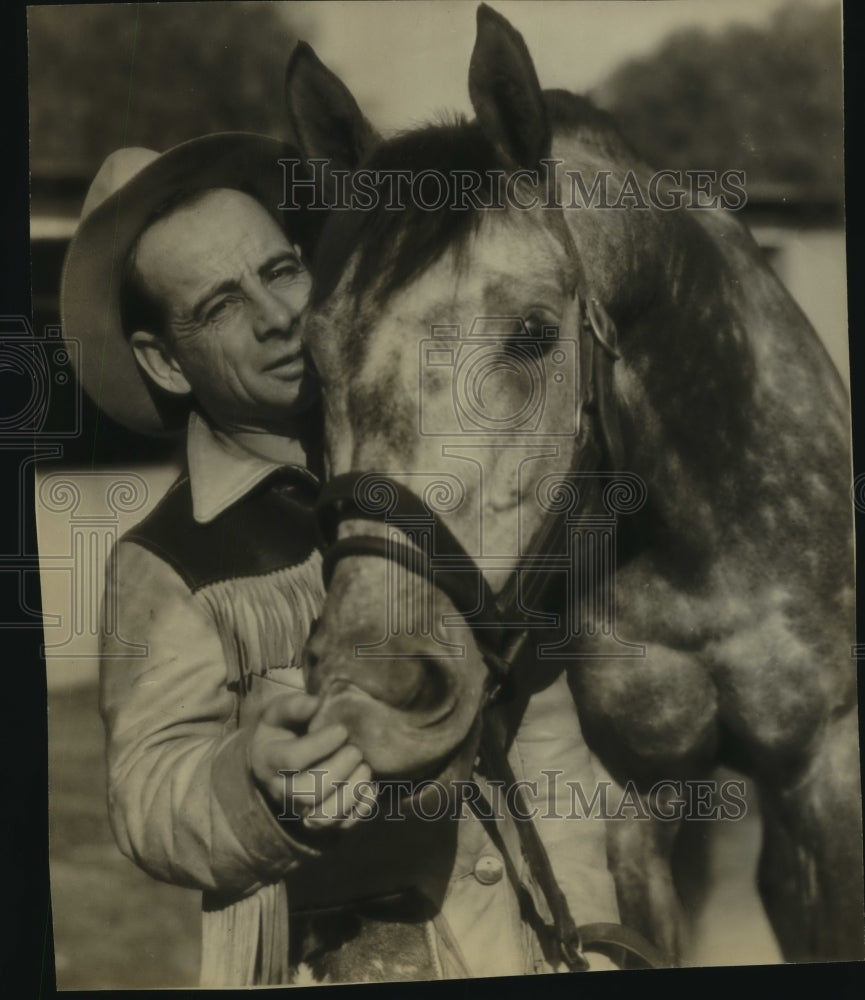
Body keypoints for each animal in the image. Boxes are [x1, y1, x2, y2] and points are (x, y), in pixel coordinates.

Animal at [282, 1, 856, 968]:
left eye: (531, 333)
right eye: (313, 361)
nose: (377, 695)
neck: (704, 545)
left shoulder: (825, 776)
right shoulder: (635, 794)